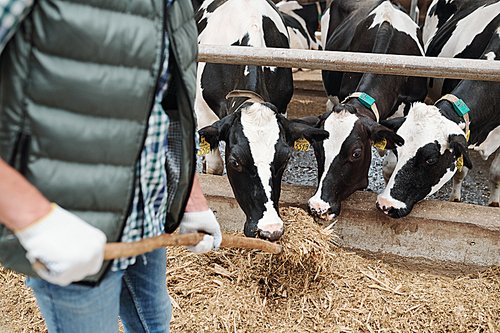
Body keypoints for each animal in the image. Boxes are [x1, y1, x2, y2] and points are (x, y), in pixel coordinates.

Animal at [376, 10, 500, 217]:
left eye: (431, 160)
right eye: (397, 150)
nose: (385, 204)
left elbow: (495, 172)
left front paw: (493, 204)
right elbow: (461, 169)